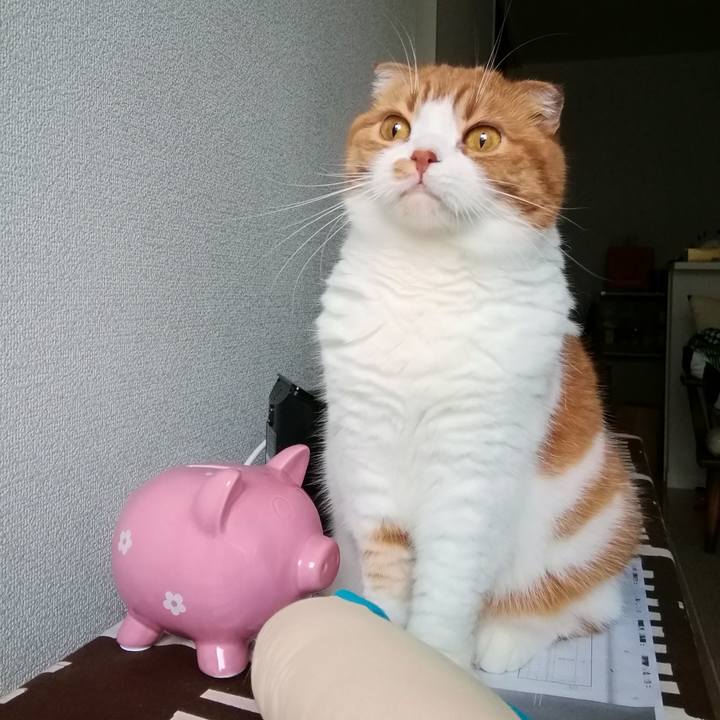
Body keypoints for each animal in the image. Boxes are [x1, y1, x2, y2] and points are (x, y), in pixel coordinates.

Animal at [316, 63, 641, 673]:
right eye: (396, 128)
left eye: (482, 139)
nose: (421, 155)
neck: (428, 286)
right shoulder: (371, 466)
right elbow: (388, 576)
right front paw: (382, 646)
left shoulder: (471, 482)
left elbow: (447, 587)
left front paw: (437, 659)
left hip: (605, 512)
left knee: (581, 606)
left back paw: (502, 640)